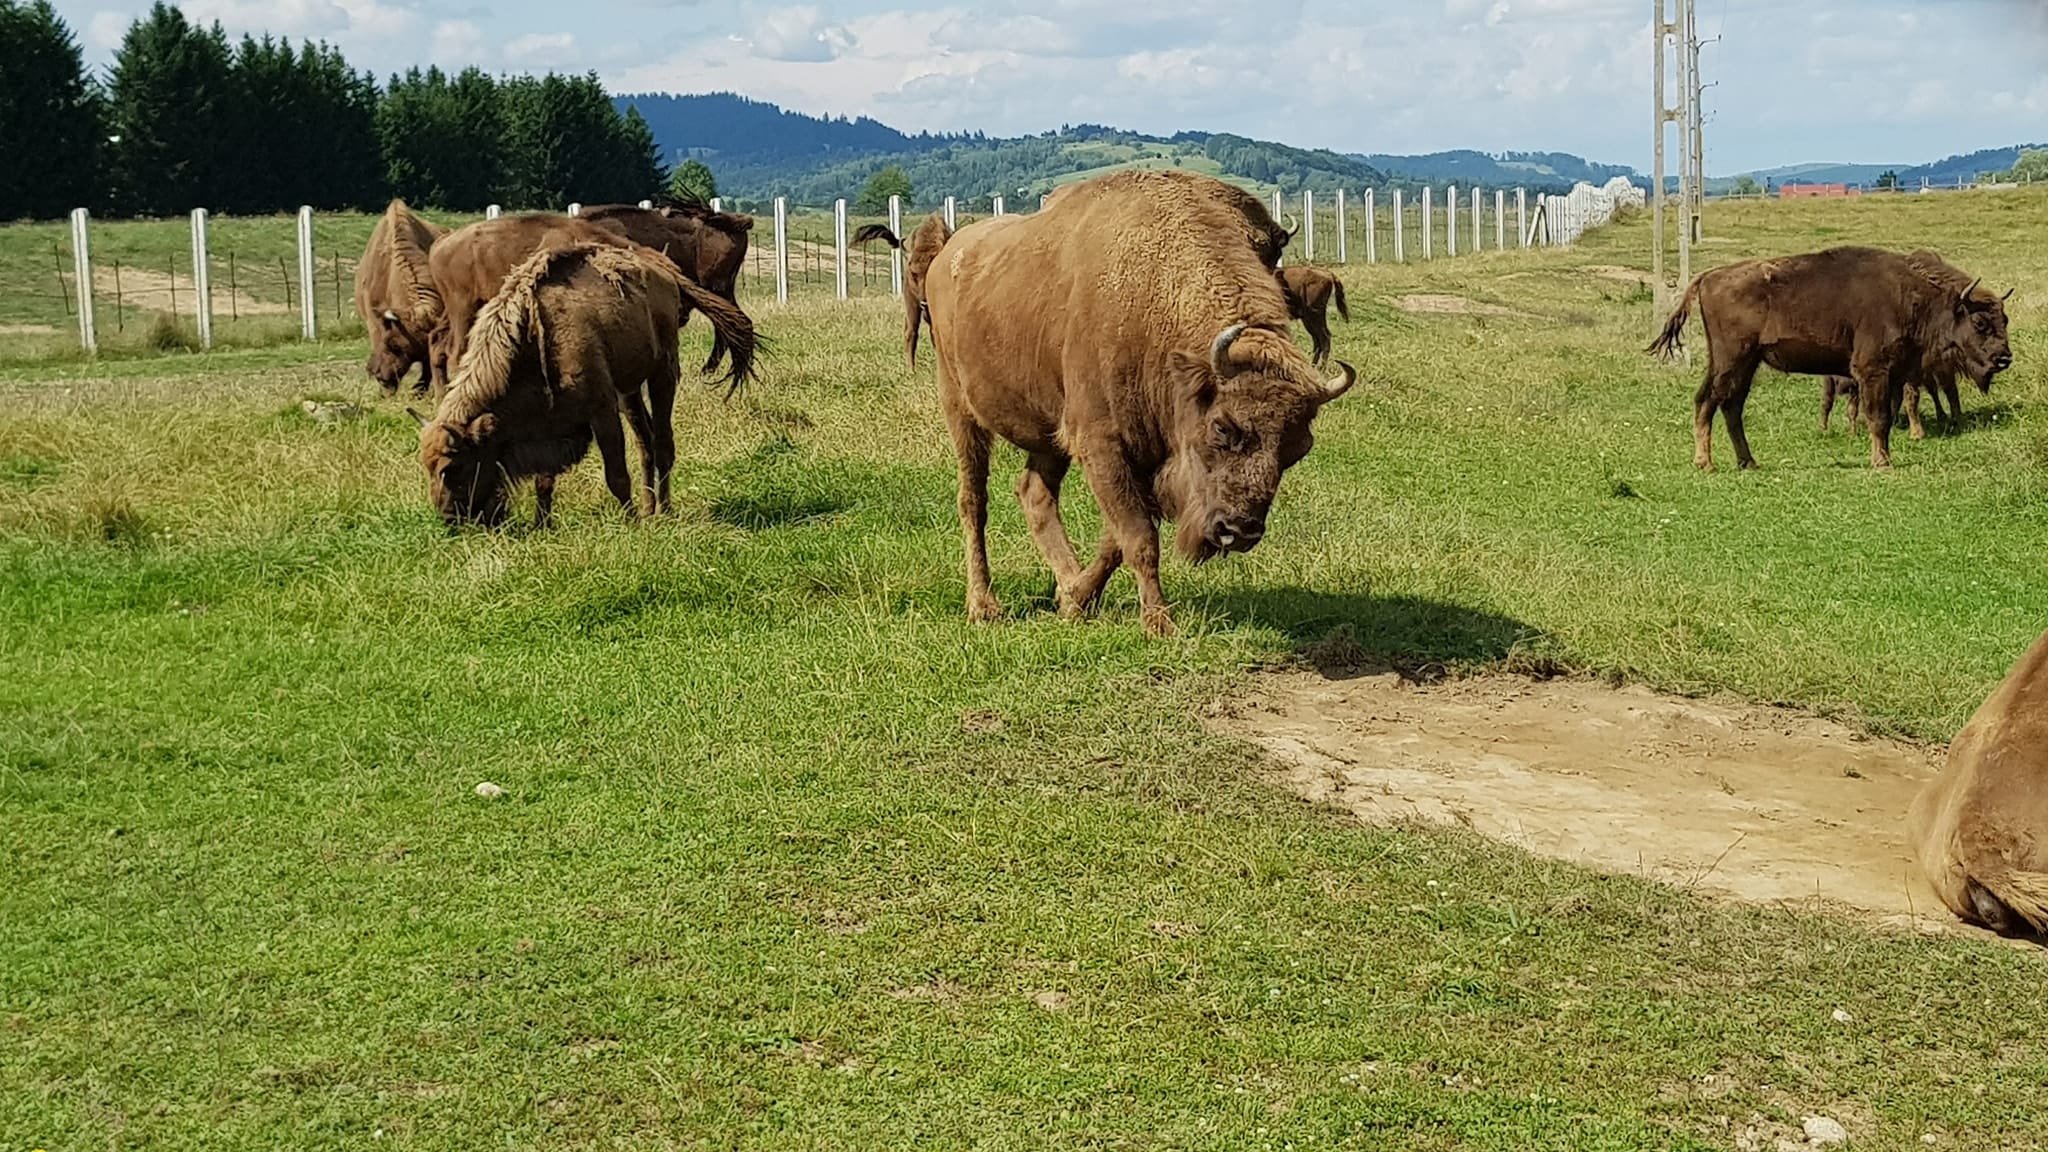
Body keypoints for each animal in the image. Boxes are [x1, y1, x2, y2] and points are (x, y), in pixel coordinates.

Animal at [922, 169, 1356, 637]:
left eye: (1299, 448)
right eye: (1222, 427)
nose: (1237, 531)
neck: (1155, 296)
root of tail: (948, 255)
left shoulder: (1146, 454)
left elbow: (1118, 537)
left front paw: (1075, 600)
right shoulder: (1102, 444)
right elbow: (1139, 536)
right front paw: (1159, 623)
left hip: (1049, 434)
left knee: (1034, 494)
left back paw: (1064, 584)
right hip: (959, 408)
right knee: (973, 501)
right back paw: (983, 606)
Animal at [1649, 247, 2012, 470]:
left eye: (2004, 320)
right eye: (1980, 322)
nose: (2004, 358)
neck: (1916, 300)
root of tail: (1708, 277)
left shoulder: (1895, 375)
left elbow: (1888, 413)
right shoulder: (1872, 370)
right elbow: (1878, 416)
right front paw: (1882, 463)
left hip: (1744, 363)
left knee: (1729, 405)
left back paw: (1747, 462)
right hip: (1732, 359)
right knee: (1709, 401)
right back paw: (1706, 463)